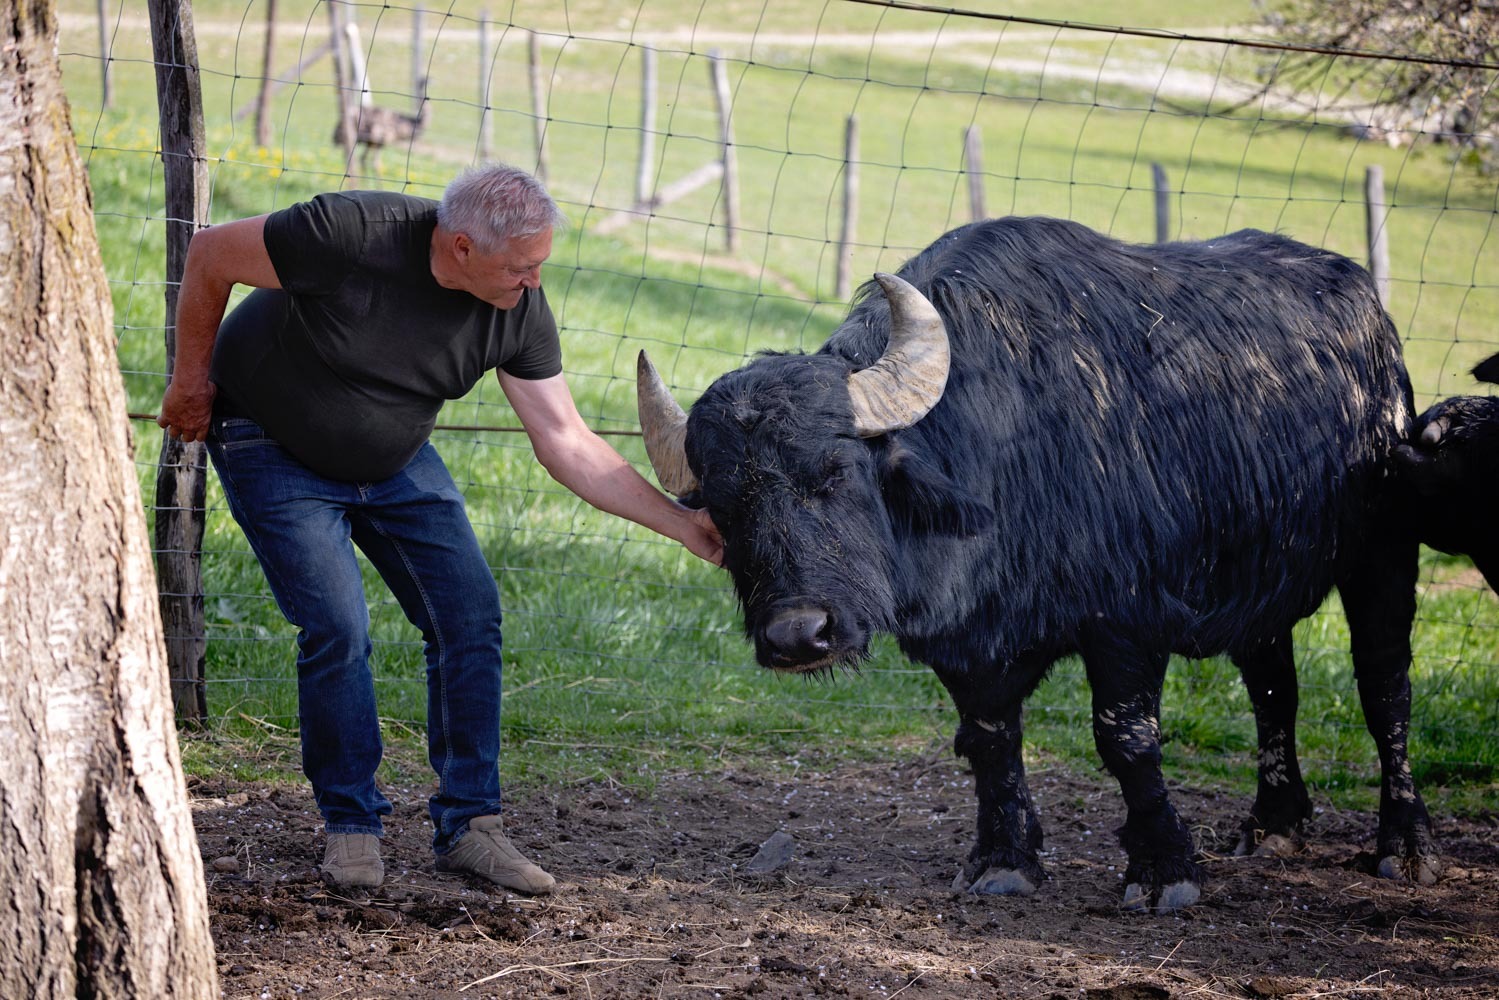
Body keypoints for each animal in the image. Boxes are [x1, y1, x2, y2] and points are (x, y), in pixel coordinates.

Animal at [636, 216, 1441, 912]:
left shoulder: (1125, 622)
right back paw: (1274, 824)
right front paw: (1004, 860)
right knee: (1275, 686)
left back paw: (1404, 844)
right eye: (723, 506)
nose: (798, 636)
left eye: (834, 473)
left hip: (1382, 553)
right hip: (1259, 581)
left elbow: (1126, 740)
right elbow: (989, 742)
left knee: (1384, 687)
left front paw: (1163, 870)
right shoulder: (968, 647)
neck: (1004, 447)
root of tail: (1367, 312)